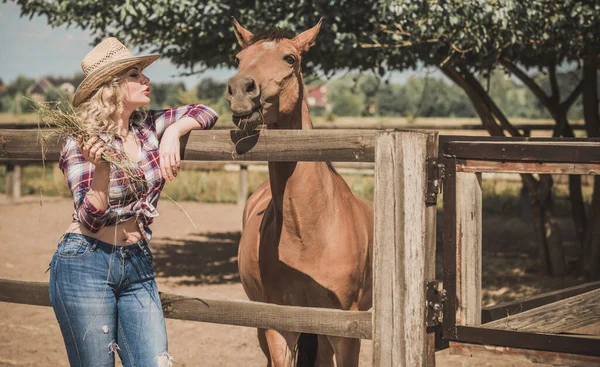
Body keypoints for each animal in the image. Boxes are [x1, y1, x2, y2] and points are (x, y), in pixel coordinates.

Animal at [226, 20, 372, 367]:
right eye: (238, 58)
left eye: (290, 58)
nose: (240, 90)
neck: (308, 233)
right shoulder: (280, 328)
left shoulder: (345, 331)